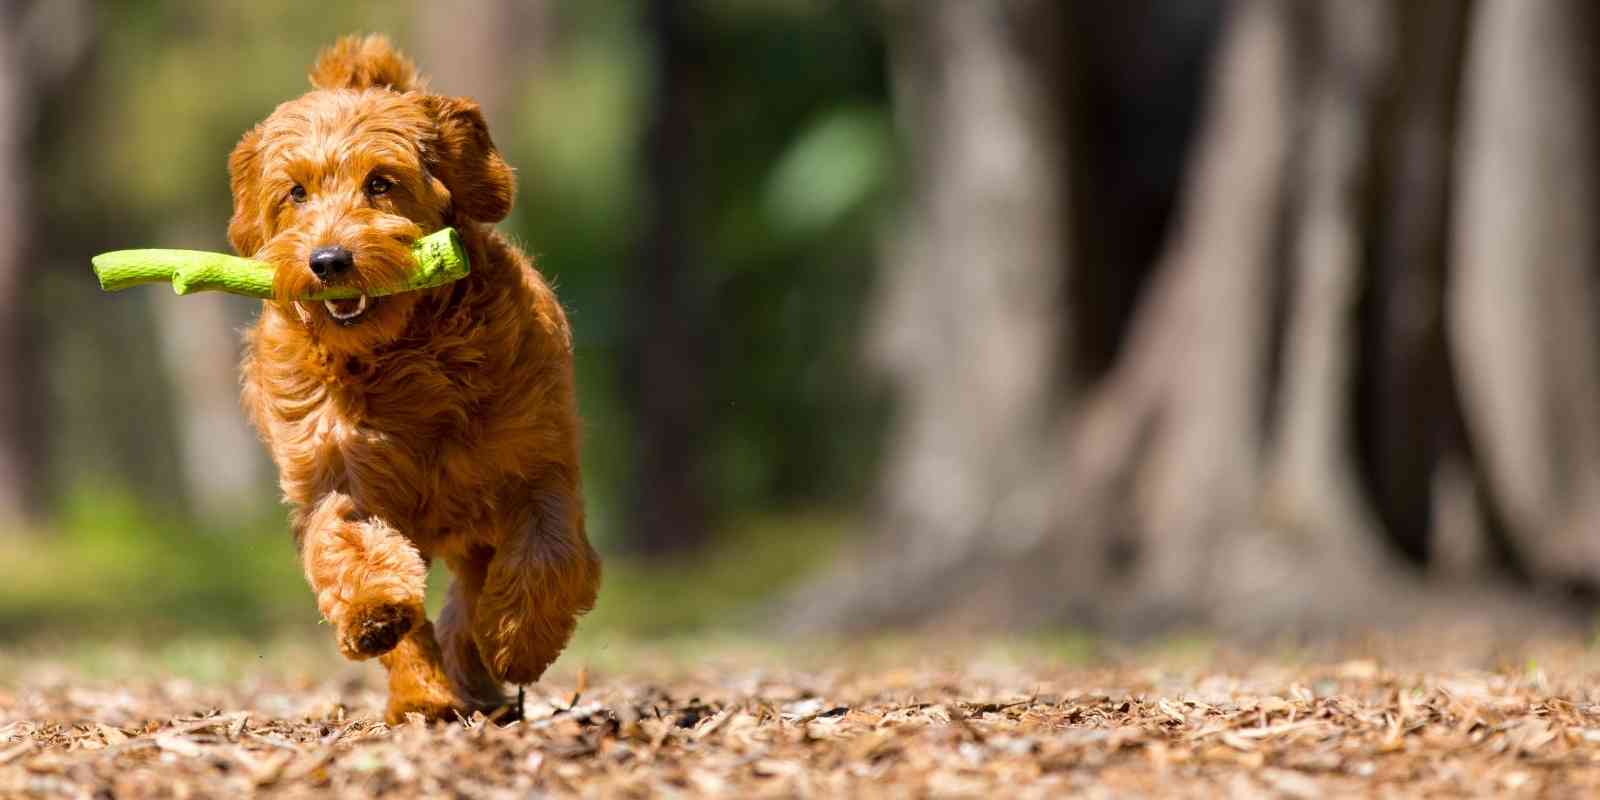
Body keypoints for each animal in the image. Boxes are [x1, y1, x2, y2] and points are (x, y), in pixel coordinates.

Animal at [228, 36, 598, 726]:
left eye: (381, 182)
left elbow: (548, 550)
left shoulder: (537, 463)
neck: (403, 355)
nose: (328, 261)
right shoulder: (333, 471)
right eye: (296, 192)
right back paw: (425, 692)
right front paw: (377, 619)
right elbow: (349, 544)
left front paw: (519, 640)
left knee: (469, 597)